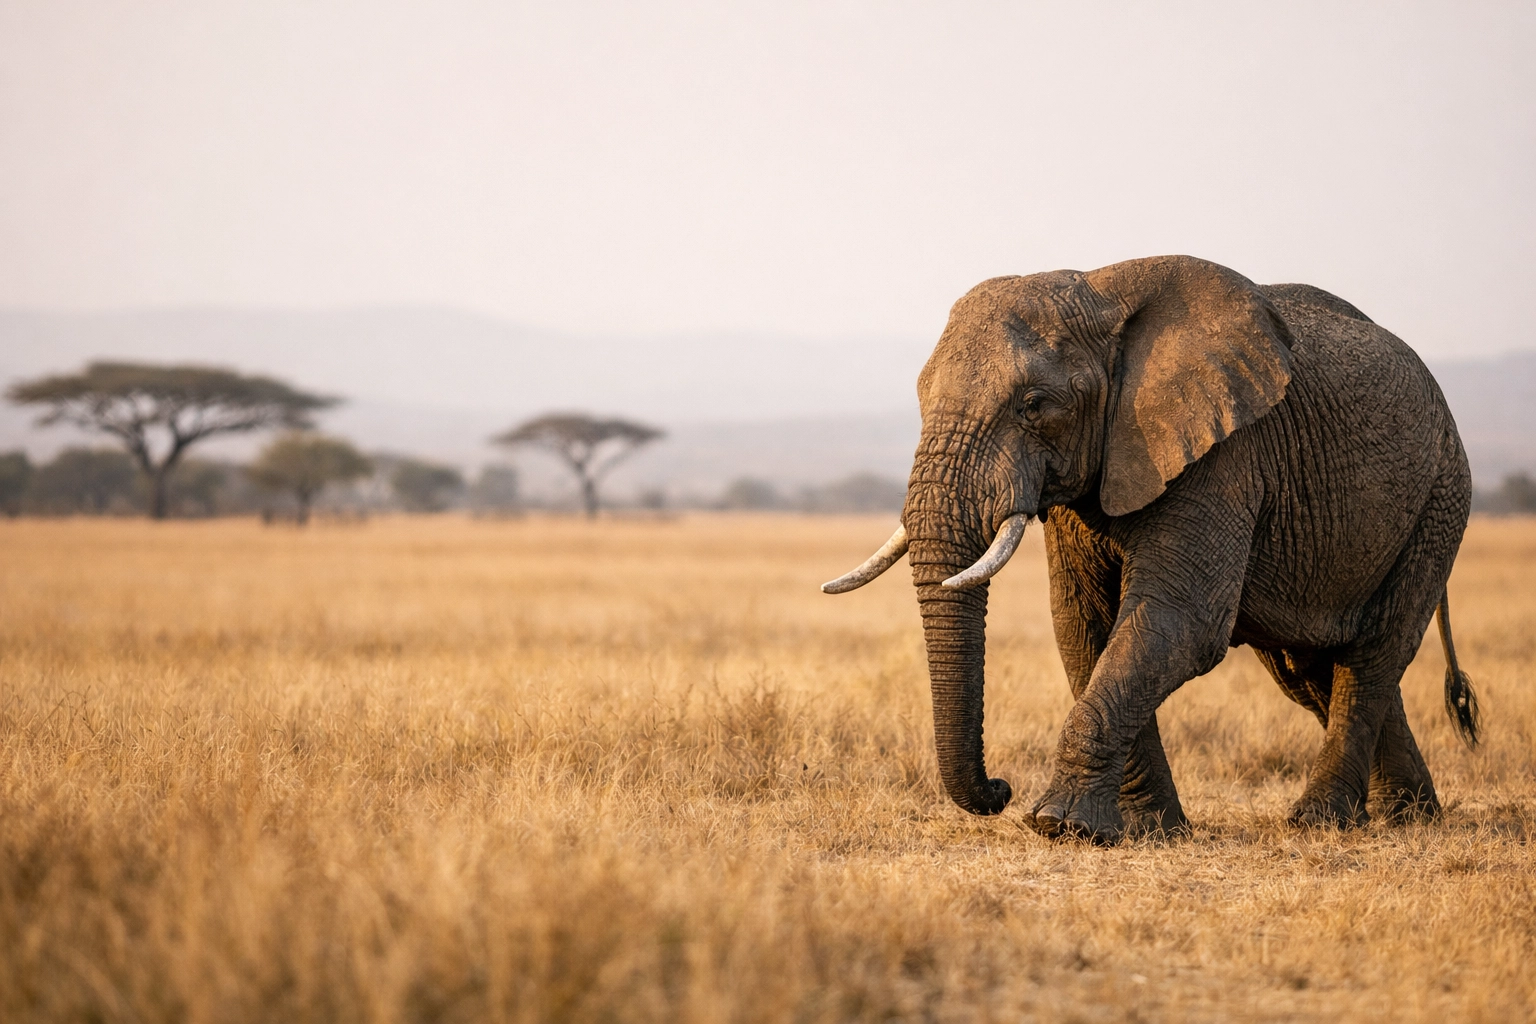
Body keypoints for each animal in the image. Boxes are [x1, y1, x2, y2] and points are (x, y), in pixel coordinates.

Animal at [823, 255, 1480, 843]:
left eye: (1034, 406)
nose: (1000, 789)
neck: (1099, 293)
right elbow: (1086, 626)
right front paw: (1145, 831)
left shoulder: (1224, 456)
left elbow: (1176, 622)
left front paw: (1059, 825)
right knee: (1313, 669)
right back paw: (1410, 817)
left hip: (1439, 500)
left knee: (1372, 654)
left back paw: (1321, 821)